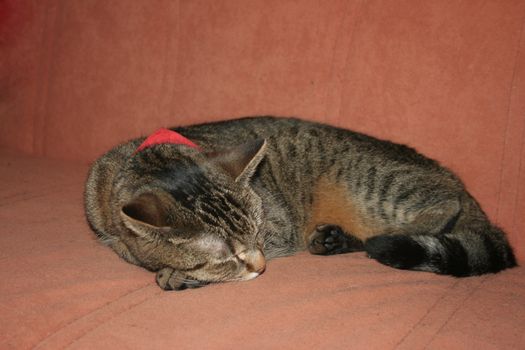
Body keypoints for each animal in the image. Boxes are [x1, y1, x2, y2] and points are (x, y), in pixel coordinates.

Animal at [85, 117, 516, 290]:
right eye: (226, 255)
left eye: (259, 232)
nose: (260, 267)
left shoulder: (278, 228)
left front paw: (174, 275)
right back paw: (334, 241)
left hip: (382, 184)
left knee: (443, 209)